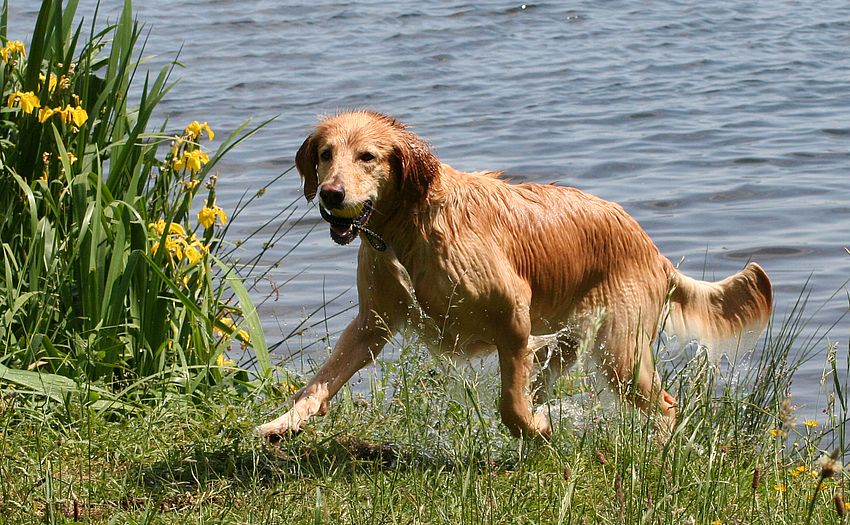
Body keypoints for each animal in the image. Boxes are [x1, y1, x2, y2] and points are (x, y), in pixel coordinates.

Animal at [256, 110, 772, 439]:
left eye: (368, 156)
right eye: (325, 153)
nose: (331, 195)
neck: (411, 226)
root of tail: (653, 249)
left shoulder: (513, 317)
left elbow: (510, 405)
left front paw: (536, 431)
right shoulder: (371, 325)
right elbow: (319, 383)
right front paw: (284, 424)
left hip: (622, 352)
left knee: (666, 406)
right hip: (572, 343)